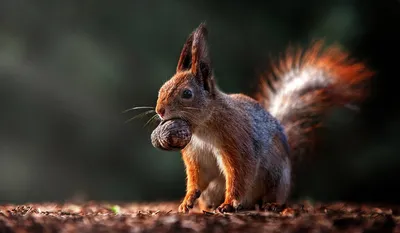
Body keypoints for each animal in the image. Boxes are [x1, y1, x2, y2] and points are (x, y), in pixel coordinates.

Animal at [155, 23, 374, 213]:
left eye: (187, 94)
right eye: (162, 87)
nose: (160, 110)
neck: (202, 129)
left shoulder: (237, 142)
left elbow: (239, 174)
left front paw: (229, 203)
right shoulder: (196, 155)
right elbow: (198, 178)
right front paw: (187, 200)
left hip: (276, 176)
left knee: (274, 196)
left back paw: (271, 205)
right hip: (215, 190)